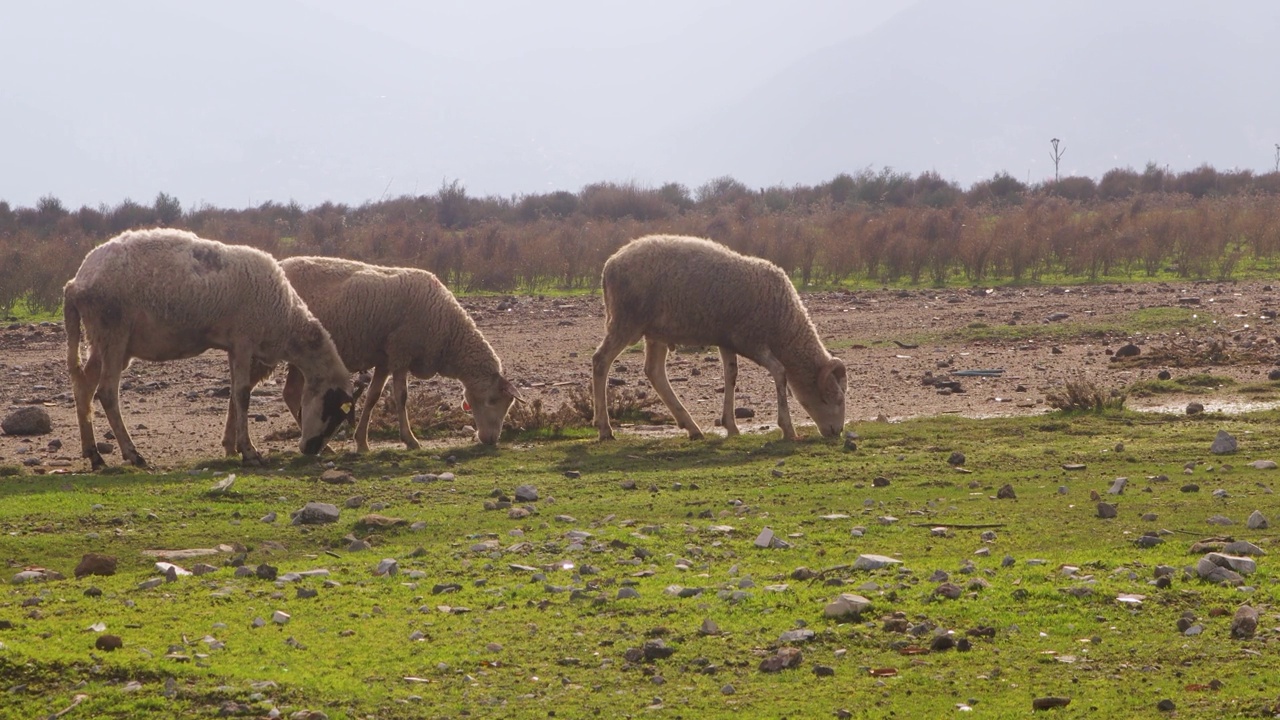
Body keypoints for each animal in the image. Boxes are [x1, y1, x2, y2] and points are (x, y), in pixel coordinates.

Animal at [63, 226, 358, 468]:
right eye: (331, 409)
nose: (311, 450)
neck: (285, 318)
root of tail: (76, 282)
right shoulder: (243, 341)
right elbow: (243, 395)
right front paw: (250, 452)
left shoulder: (234, 347)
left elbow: (235, 395)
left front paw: (234, 448)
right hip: (113, 334)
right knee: (106, 392)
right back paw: (133, 454)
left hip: (103, 341)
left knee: (83, 387)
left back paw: (94, 456)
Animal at [277, 254, 522, 448]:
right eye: (492, 400)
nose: (491, 440)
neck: (449, 333)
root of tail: (280, 262)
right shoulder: (401, 353)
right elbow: (401, 397)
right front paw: (410, 440)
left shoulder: (386, 359)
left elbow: (373, 397)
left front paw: (362, 442)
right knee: (291, 393)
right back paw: (320, 445)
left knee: (290, 393)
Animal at [591, 233, 849, 440]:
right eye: (835, 398)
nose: (837, 432)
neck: (782, 323)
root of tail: (609, 264)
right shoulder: (750, 341)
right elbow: (779, 372)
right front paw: (787, 428)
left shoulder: (727, 341)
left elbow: (731, 375)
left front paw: (731, 426)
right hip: (626, 322)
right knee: (601, 360)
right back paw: (604, 428)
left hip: (655, 332)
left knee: (654, 372)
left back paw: (691, 427)